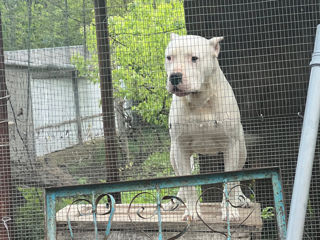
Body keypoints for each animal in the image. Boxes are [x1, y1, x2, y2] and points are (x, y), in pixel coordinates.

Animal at [165, 32, 250, 220]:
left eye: (194, 58)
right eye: (169, 57)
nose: (174, 76)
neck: (200, 100)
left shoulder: (231, 145)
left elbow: (229, 183)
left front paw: (230, 211)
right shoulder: (181, 148)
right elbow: (188, 184)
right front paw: (191, 212)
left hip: (241, 149)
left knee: (237, 178)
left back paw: (240, 199)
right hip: (173, 154)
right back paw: (175, 202)